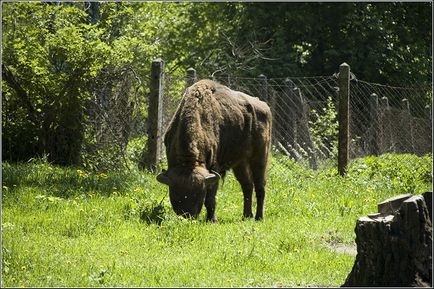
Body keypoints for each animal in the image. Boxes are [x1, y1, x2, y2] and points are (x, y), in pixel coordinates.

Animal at [156, 79, 272, 220]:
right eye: (175, 194)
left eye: (199, 193)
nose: (187, 215)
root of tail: (265, 106)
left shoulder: (214, 169)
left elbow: (210, 198)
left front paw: (212, 219)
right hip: (240, 163)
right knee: (247, 185)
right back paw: (246, 216)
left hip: (260, 157)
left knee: (260, 186)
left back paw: (259, 217)